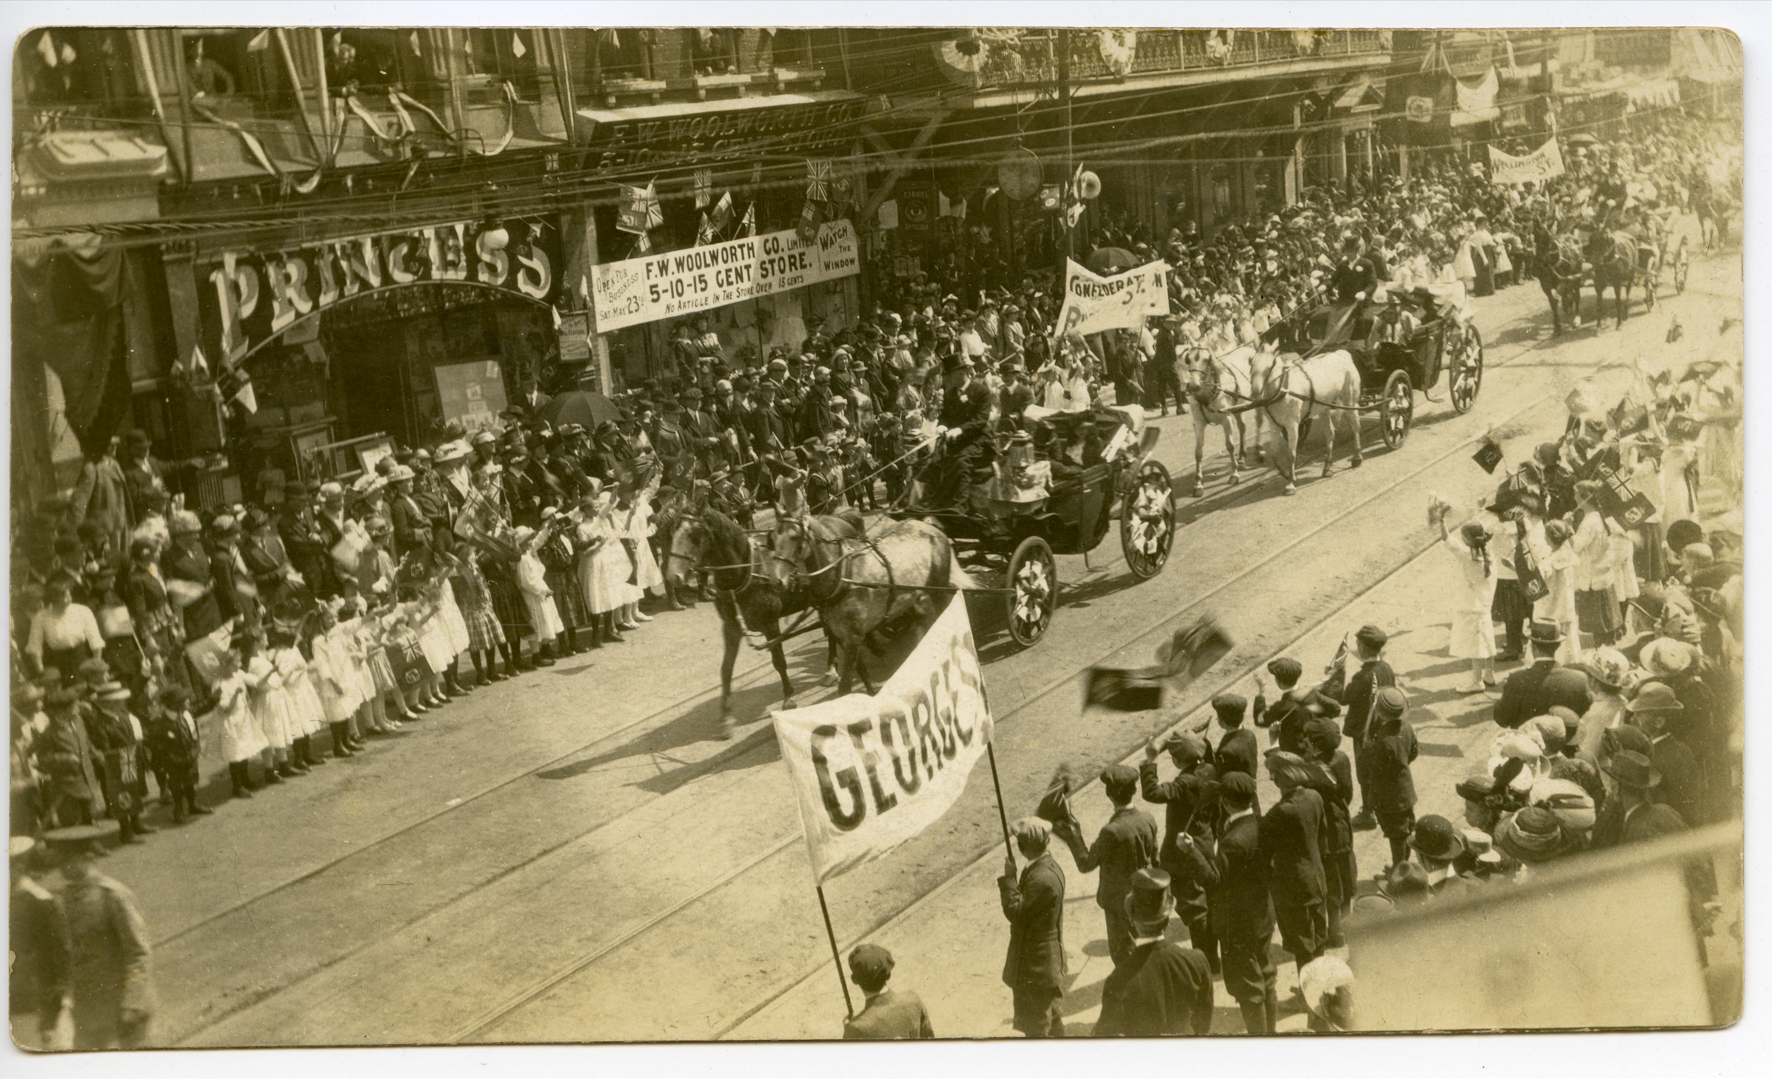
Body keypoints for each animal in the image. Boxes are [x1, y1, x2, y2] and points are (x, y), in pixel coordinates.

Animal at [1254, 347, 1360, 496]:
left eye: (1269, 367)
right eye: (1251, 364)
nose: (1256, 393)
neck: (1283, 387)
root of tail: (1342, 354)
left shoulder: (1292, 424)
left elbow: (1291, 454)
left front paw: (1290, 484)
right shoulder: (1273, 426)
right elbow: (1274, 454)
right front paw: (1287, 474)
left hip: (1349, 401)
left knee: (1355, 425)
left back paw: (1357, 457)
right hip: (1323, 407)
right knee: (1330, 433)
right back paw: (1327, 467)